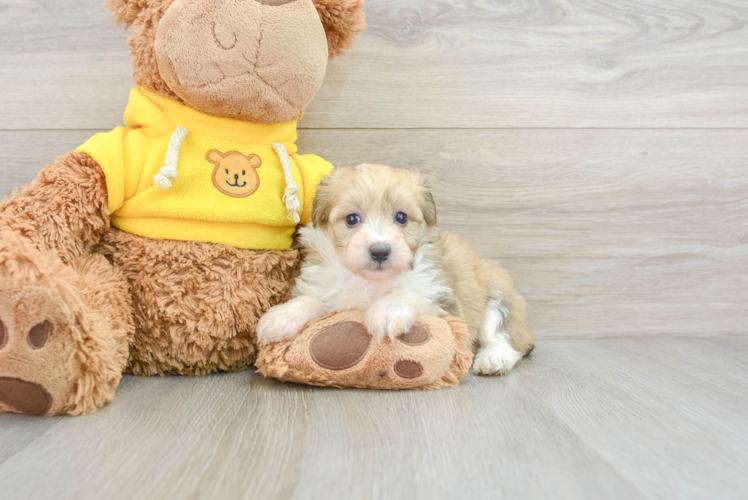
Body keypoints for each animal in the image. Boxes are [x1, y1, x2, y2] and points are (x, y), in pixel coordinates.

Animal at [254, 164, 536, 376]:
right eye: (352, 219)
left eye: (401, 217)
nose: (380, 251)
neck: (371, 281)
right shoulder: (329, 290)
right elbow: (312, 300)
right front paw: (282, 317)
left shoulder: (444, 305)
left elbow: (408, 293)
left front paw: (387, 311)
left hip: (499, 297)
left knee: (508, 338)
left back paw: (493, 359)